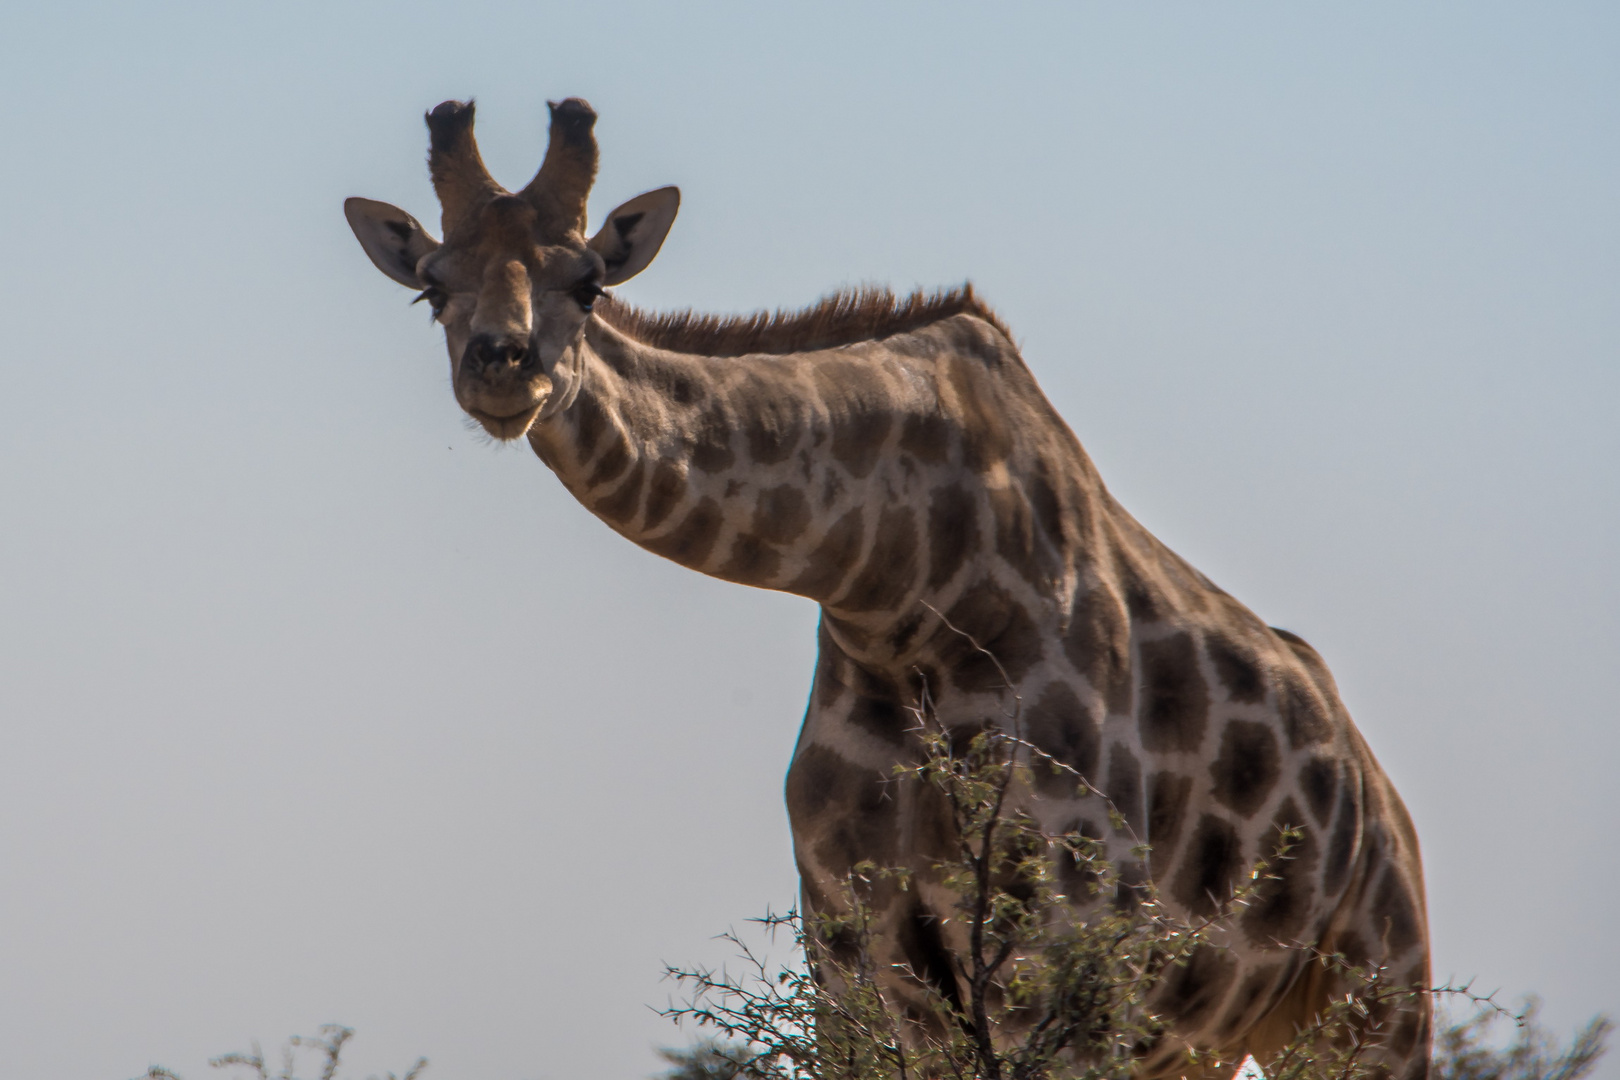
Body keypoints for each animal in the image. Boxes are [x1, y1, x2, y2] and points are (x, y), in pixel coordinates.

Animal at [345, 97, 1432, 1075]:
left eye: (589, 283)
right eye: (432, 287)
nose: (501, 369)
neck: (900, 587)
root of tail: (1380, 798)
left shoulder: (1063, 948)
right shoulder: (855, 957)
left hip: (1369, 1000)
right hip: (1203, 1038)